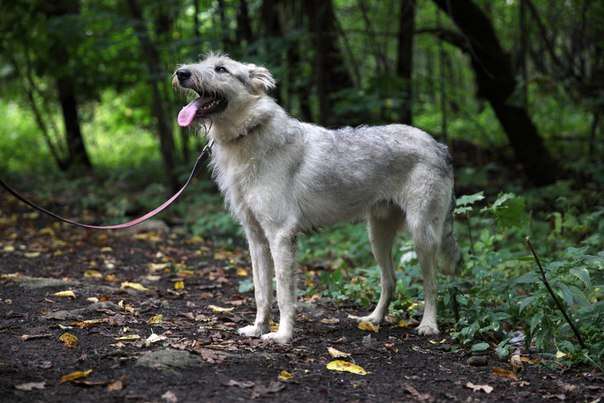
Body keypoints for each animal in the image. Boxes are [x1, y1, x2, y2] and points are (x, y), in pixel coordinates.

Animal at [172, 52, 460, 344]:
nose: (181, 73)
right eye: (202, 62)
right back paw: (374, 319)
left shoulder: (280, 236)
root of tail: (439, 145)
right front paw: (258, 328)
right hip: (377, 237)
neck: (248, 134)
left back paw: (428, 325)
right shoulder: (256, 239)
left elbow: (284, 295)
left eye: (221, 68)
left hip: (422, 235)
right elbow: (261, 292)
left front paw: (282, 335)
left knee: (432, 285)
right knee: (390, 281)